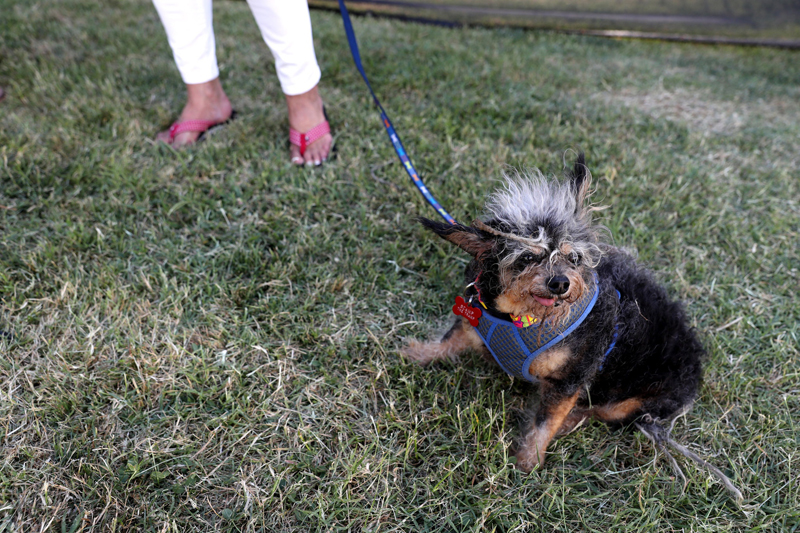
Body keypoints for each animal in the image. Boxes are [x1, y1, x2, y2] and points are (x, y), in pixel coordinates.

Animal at [406, 154, 744, 498]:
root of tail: (696, 365)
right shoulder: (474, 320)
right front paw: (418, 353)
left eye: (574, 257)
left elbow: (546, 421)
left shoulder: (572, 377)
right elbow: (449, 339)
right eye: (527, 257)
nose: (560, 283)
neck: (516, 317)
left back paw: (573, 420)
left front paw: (528, 460)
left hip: (631, 401)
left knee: (599, 413)